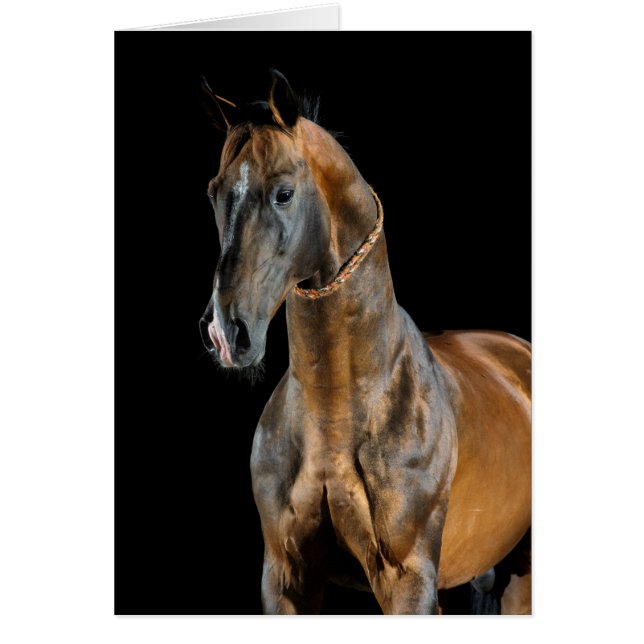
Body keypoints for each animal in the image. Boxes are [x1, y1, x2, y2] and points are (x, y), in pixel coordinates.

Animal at [199, 69, 531, 615]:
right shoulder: (286, 580)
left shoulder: (407, 581)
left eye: (284, 193)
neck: (340, 413)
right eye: (214, 193)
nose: (225, 333)